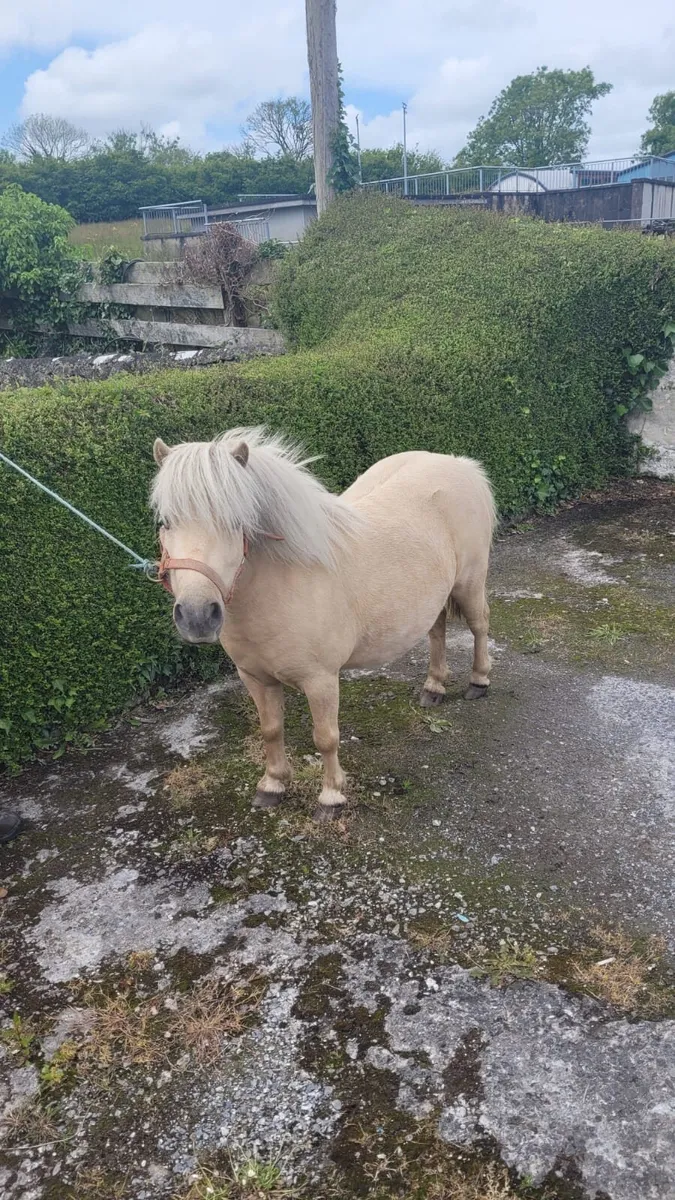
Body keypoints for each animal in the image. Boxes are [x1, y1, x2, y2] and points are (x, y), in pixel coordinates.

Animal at [151, 428, 496, 822]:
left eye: (236, 523)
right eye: (166, 522)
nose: (197, 616)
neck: (281, 584)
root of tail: (460, 465)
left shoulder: (321, 680)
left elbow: (325, 737)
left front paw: (331, 797)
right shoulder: (255, 678)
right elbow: (271, 730)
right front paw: (272, 785)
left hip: (469, 584)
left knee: (480, 626)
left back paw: (479, 681)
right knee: (437, 632)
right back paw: (434, 687)